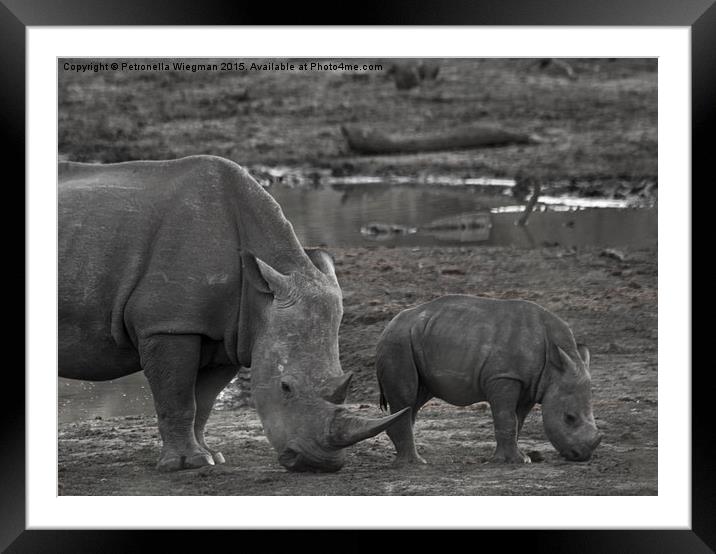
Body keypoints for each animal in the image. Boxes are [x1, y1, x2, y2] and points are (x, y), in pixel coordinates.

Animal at [58, 154, 408, 470]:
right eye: (285, 387)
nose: (318, 464)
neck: (260, 294)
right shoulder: (168, 324)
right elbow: (178, 398)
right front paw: (185, 464)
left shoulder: (230, 335)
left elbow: (203, 402)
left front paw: (210, 456)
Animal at [378, 296, 600, 464]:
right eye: (569, 418)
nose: (582, 456)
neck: (553, 368)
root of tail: (389, 325)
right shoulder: (504, 377)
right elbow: (507, 418)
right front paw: (511, 461)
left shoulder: (531, 385)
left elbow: (518, 420)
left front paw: (521, 458)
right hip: (398, 341)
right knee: (407, 398)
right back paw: (415, 463)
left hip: (417, 338)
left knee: (416, 399)